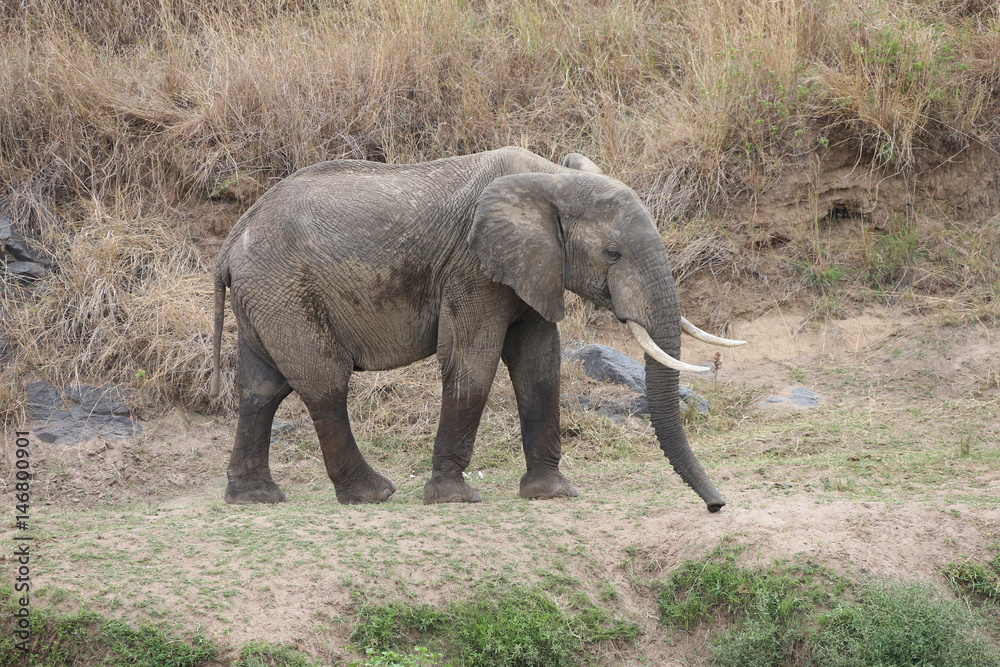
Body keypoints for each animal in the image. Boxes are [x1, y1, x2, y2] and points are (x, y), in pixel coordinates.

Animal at [210, 147, 744, 512]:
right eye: (612, 253)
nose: (717, 506)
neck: (553, 179)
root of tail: (231, 242)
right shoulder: (472, 269)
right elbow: (474, 360)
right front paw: (453, 497)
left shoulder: (532, 270)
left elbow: (539, 365)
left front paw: (551, 494)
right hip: (284, 289)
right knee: (323, 382)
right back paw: (373, 494)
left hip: (267, 295)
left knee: (261, 388)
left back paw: (256, 498)